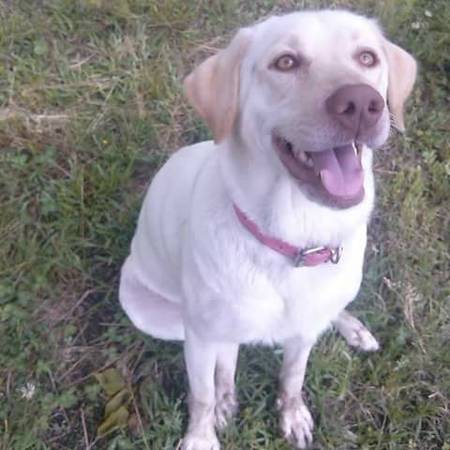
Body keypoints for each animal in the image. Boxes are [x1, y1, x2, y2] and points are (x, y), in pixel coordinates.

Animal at [118, 7, 414, 450]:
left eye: (367, 57)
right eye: (286, 62)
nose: (362, 103)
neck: (294, 241)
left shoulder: (303, 331)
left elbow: (293, 376)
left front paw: (292, 414)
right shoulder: (200, 335)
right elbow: (202, 395)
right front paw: (202, 434)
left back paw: (352, 327)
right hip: (158, 315)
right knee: (225, 352)